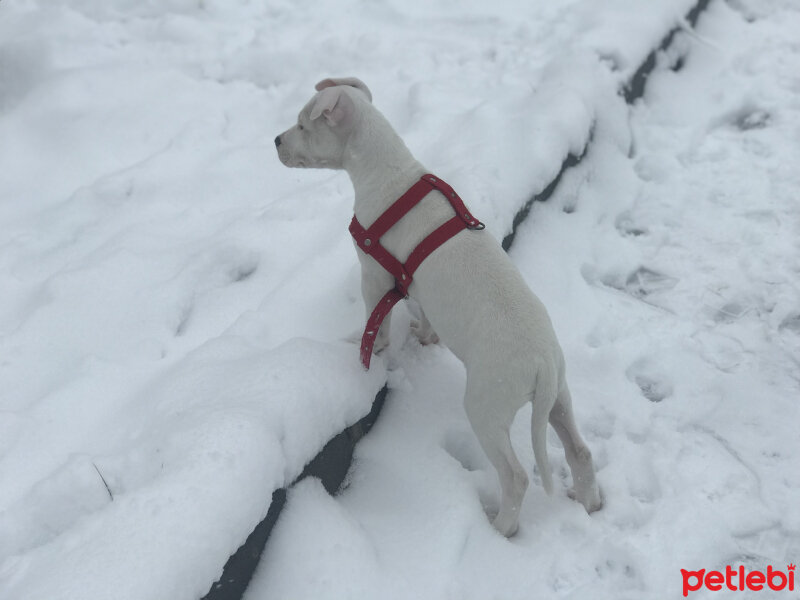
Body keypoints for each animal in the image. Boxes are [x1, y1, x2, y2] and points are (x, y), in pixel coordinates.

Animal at [276, 77, 600, 536]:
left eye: (304, 126)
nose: (275, 141)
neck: (389, 172)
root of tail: (541, 362)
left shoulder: (374, 275)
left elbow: (375, 322)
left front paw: (366, 348)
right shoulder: (417, 284)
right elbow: (426, 315)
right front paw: (426, 338)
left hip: (486, 406)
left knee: (516, 475)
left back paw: (501, 526)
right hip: (559, 397)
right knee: (580, 449)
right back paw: (590, 502)